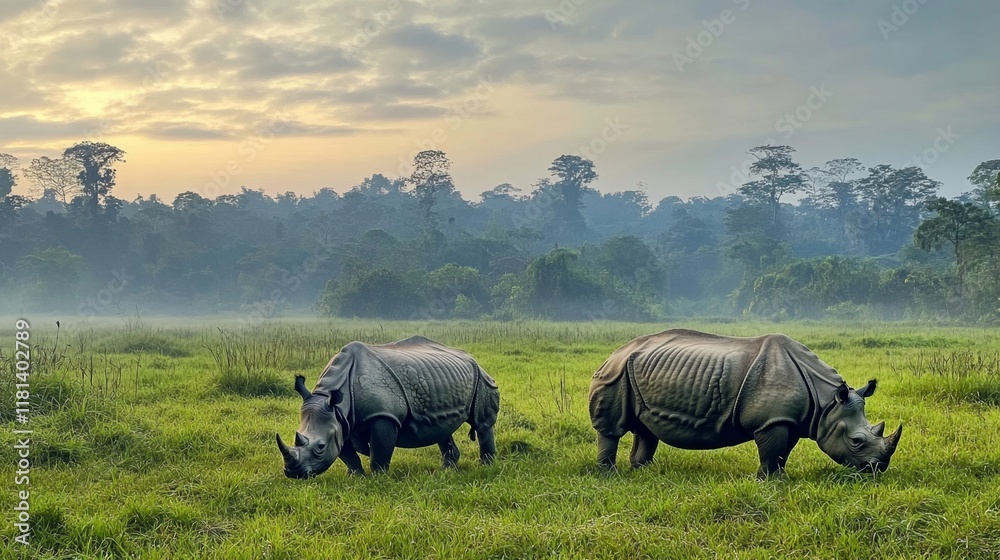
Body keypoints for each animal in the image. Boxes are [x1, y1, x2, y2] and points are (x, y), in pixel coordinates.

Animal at [277, 336, 499, 478]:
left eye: (320, 447)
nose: (293, 473)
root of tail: (470, 356)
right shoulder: (339, 420)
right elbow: (347, 452)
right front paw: (356, 476)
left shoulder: (383, 415)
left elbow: (380, 448)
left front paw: (378, 476)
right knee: (443, 429)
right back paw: (447, 469)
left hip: (481, 377)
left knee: (482, 424)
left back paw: (486, 466)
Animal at [589, 329, 902, 478]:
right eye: (857, 441)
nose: (877, 469)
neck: (826, 402)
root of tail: (616, 351)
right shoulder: (771, 420)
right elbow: (771, 450)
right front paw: (771, 481)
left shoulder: (786, 419)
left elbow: (781, 452)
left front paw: (777, 477)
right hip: (616, 373)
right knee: (612, 428)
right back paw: (610, 474)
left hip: (634, 371)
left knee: (645, 428)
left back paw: (643, 471)